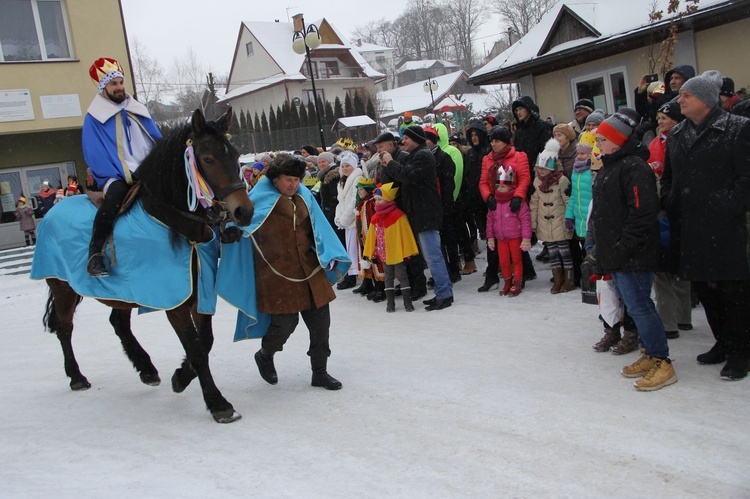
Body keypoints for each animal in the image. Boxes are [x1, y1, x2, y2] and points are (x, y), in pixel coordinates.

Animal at [38, 107, 254, 424]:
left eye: (236, 155)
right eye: (207, 159)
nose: (243, 211)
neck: (176, 224)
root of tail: (53, 209)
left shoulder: (198, 293)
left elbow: (206, 341)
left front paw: (181, 376)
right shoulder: (176, 304)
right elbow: (197, 347)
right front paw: (218, 403)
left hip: (121, 292)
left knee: (118, 323)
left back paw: (146, 368)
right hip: (62, 287)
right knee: (65, 327)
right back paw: (77, 376)